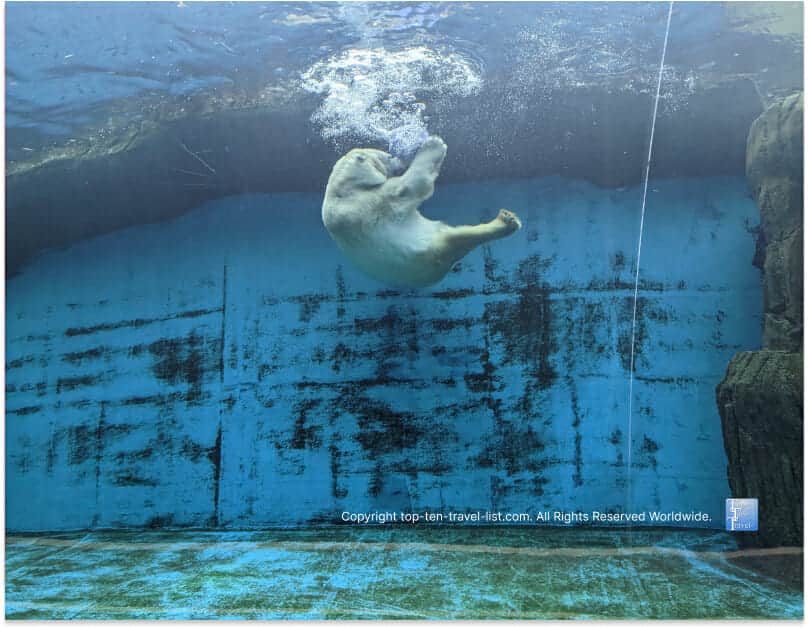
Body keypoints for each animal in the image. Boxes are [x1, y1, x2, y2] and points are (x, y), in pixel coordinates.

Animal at [321, 136, 522, 288]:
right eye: (388, 156)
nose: (397, 158)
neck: (343, 191)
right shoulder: (373, 203)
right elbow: (410, 186)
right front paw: (433, 144)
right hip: (431, 248)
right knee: (461, 237)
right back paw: (506, 220)